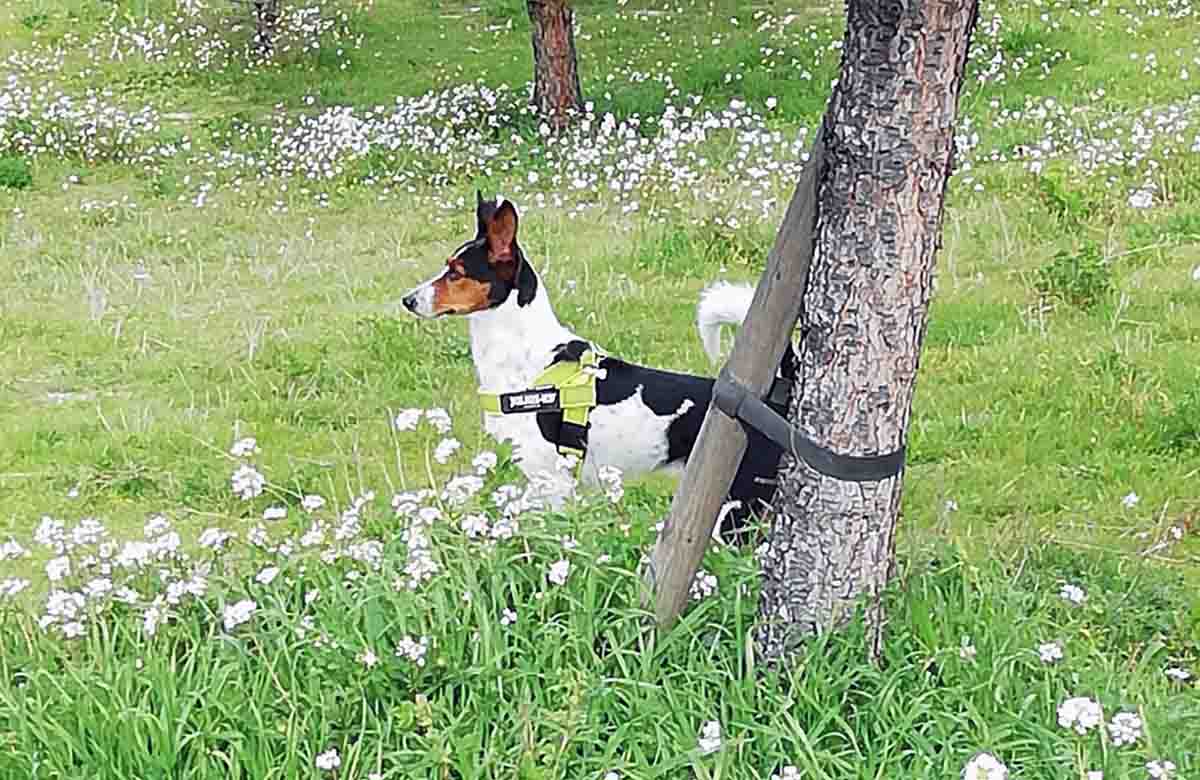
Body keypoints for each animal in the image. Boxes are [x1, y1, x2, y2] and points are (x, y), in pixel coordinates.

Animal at [405, 190, 796, 537]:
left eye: (456, 273)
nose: (407, 300)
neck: (524, 355)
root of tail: (773, 403)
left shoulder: (553, 480)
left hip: (737, 512)